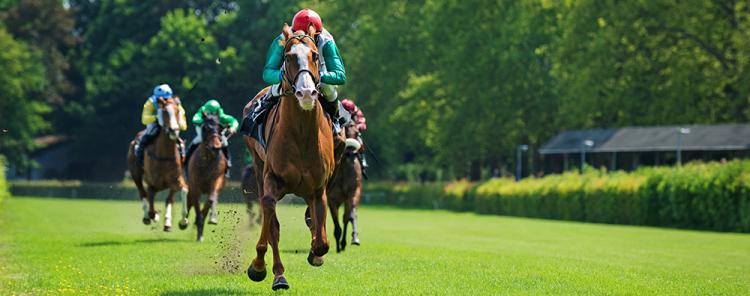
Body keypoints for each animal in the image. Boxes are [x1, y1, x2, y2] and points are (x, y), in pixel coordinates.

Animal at [128, 97, 189, 231]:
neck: (164, 155)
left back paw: (167, 223)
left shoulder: (175, 180)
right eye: (164, 112)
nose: (174, 130)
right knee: (143, 193)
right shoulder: (152, 182)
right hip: (136, 174)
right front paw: (153, 215)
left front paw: (183, 221)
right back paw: (148, 217)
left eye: (178, 111)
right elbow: (149, 197)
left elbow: (183, 190)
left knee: (168, 199)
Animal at [187, 112, 228, 242]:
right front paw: (197, 226)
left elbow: (210, 200)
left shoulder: (217, 179)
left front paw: (209, 220)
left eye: (220, 128)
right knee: (190, 200)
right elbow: (195, 202)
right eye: (204, 128)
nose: (216, 147)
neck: (207, 160)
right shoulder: (195, 185)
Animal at [242, 24, 336, 290]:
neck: (301, 135)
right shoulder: (272, 180)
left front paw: (316, 254)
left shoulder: (318, 188)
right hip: (259, 167)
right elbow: (271, 222)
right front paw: (264, 269)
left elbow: (321, 241)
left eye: (315, 55)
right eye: (288, 57)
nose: (306, 93)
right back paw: (272, 271)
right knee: (269, 217)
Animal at [328, 122, 366, 252]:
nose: (350, 153)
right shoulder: (332, 198)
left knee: (347, 217)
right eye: (345, 131)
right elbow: (336, 223)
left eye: (357, 133)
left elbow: (349, 217)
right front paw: (338, 245)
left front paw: (353, 239)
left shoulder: (353, 192)